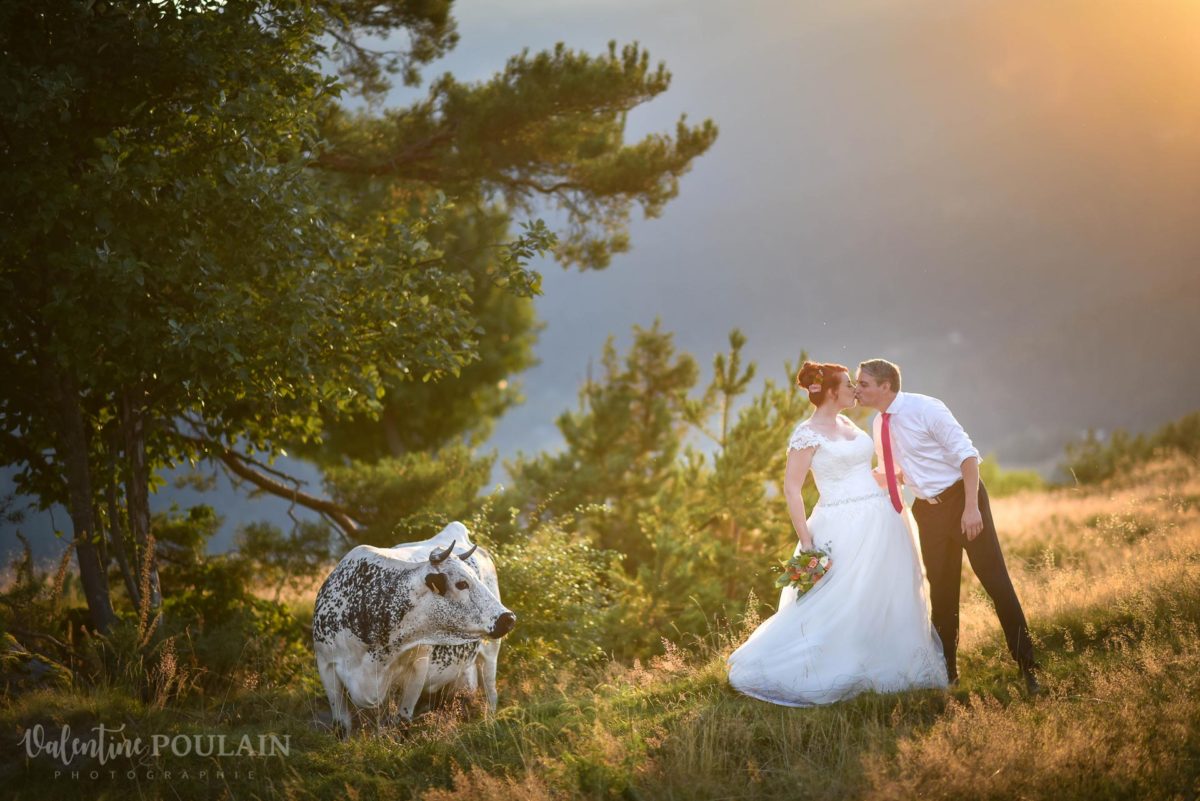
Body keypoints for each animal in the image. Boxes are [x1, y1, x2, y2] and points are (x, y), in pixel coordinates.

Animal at [312, 522, 516, 736]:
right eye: (462, 583)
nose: (508, 618)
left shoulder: (417, 668)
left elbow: (402, 721)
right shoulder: (326, 665)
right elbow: (342, 725)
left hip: (490, 653)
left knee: (491, 694)